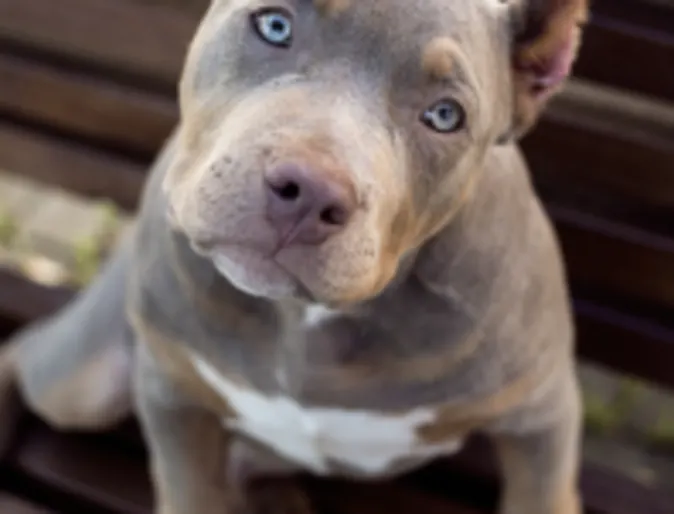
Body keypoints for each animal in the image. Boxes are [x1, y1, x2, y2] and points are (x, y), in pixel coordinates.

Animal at [0, 1, 588, 512]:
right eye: (275, 25)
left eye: (445, 115)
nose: (309, 192)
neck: (303, 317)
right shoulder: (172, 388)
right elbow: (190, 493)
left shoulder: (541, 421)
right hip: (83, 384)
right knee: (26, 353)